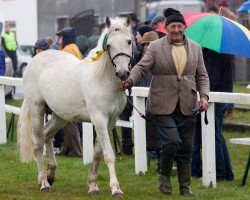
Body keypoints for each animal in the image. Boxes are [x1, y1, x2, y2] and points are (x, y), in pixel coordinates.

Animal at [17, 16, 133, 198]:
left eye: (129, 41)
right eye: (108, 45)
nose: (122, 74)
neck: (102, 80)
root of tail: (35, 59)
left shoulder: (111, 121)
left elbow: (97, 153)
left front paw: (93, 185)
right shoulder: (99, 119)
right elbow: (108, 154)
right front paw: (116, 189)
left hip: (60, 116)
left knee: (47, 135)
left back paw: (51, 175)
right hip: (37, 110)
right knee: (38, 143)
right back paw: (44, 183)